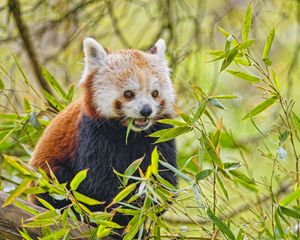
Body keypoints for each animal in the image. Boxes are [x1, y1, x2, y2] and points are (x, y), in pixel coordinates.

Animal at [29, 38, 177, 235]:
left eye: (155, 93)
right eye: (128, 93)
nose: (146, 111)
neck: (130, 133)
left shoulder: (160, 133)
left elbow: (164, 180)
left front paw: (141, 207)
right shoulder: (94, 133)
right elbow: (99, 185)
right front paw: (121, 217)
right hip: (47, 178)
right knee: (57, 183)